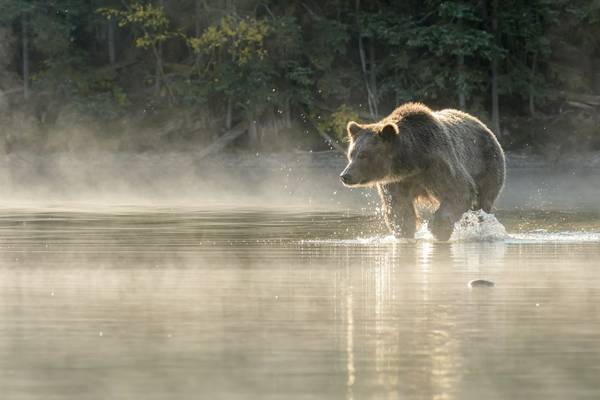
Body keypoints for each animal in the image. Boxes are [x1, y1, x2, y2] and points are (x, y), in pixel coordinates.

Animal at [340, 103, 504, 241]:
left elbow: (458, 191)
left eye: (364, 155)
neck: (412, 162)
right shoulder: (396, 181)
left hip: (488, 166)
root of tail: (484, 126)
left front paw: (438, 229)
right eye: (351, 154)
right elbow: (399, 207)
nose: (345, 176)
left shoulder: (438, 164)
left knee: (483, 202)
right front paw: (405, 232)